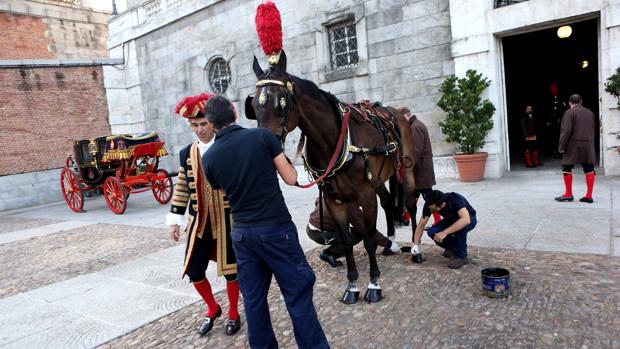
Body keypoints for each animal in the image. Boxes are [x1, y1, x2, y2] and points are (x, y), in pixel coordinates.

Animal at [243, 50, 416, 304]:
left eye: (280, 103)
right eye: (254, 105)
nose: (263, 149)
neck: (336, 141)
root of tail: (395, 114)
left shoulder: (366, 196)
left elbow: (369, 239)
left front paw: (374, 284)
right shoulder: (334, 201)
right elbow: (346, 241)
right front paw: (352, 286)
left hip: (406, 171)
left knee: (411, 204)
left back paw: (415, 248)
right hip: (378, 181)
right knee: (386, 202)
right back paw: (391, 243)